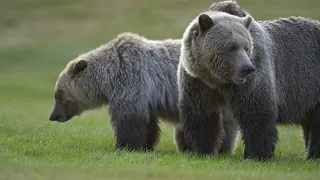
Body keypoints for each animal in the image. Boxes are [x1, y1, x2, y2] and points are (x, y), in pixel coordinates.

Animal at [47, 32, 238, 153]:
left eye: (59, 95)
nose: (53, 116)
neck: (108, 79)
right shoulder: (145, 98)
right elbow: (148, 123)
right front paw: (146, 145)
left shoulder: (129, 80)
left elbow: (129, 118)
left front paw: (124, 146)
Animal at [179, 1, 320, 160]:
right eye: (232, 47)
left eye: (246, 47)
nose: (247, 68)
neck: (218, 80)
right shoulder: (198, 82)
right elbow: (202, 115)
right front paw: (202, 150)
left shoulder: (253, 78)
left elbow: (256, 112)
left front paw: (258, 154)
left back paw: (313, 155)